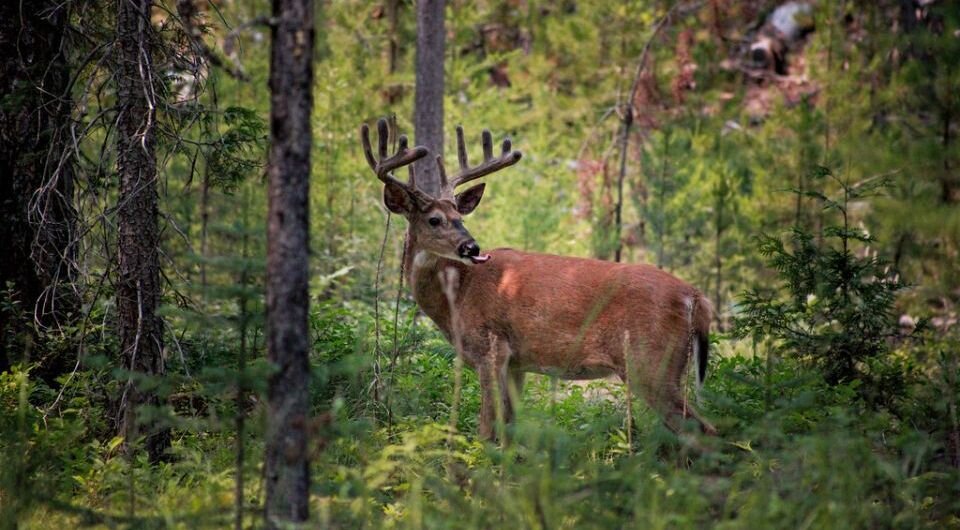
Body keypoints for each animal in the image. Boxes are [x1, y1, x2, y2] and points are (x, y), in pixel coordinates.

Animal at [360, 117, 712, 440]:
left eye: (459, 217)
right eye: (434, 220)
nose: (472, 247)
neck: (456, 296)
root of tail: (695, 297)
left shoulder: (490, 348)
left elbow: (486, 430)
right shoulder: (517, 363)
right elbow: (510, 431)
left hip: (650, 362)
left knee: (704, 431)